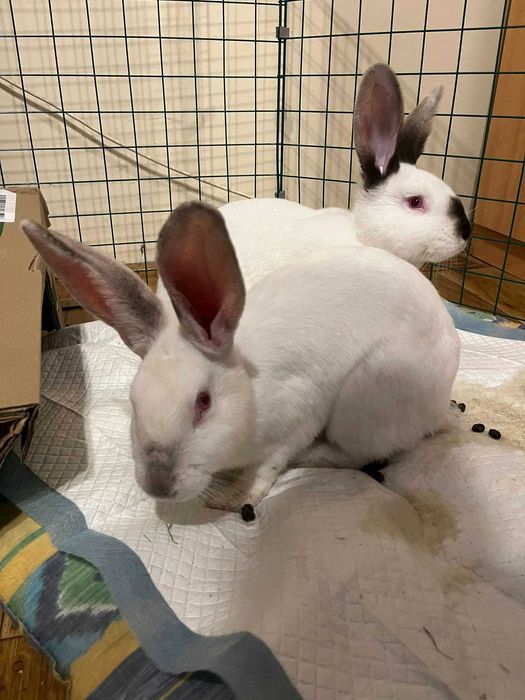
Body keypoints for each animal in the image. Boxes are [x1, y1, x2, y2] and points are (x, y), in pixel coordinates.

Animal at [22, 200, 460, 511]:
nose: (158, 486)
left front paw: (234, 498)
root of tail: (440, 405)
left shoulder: (299, 416)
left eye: (203, 402)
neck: (248, 387)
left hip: (363, 402)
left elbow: (269, 464)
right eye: (134, 401)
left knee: (357, 453)